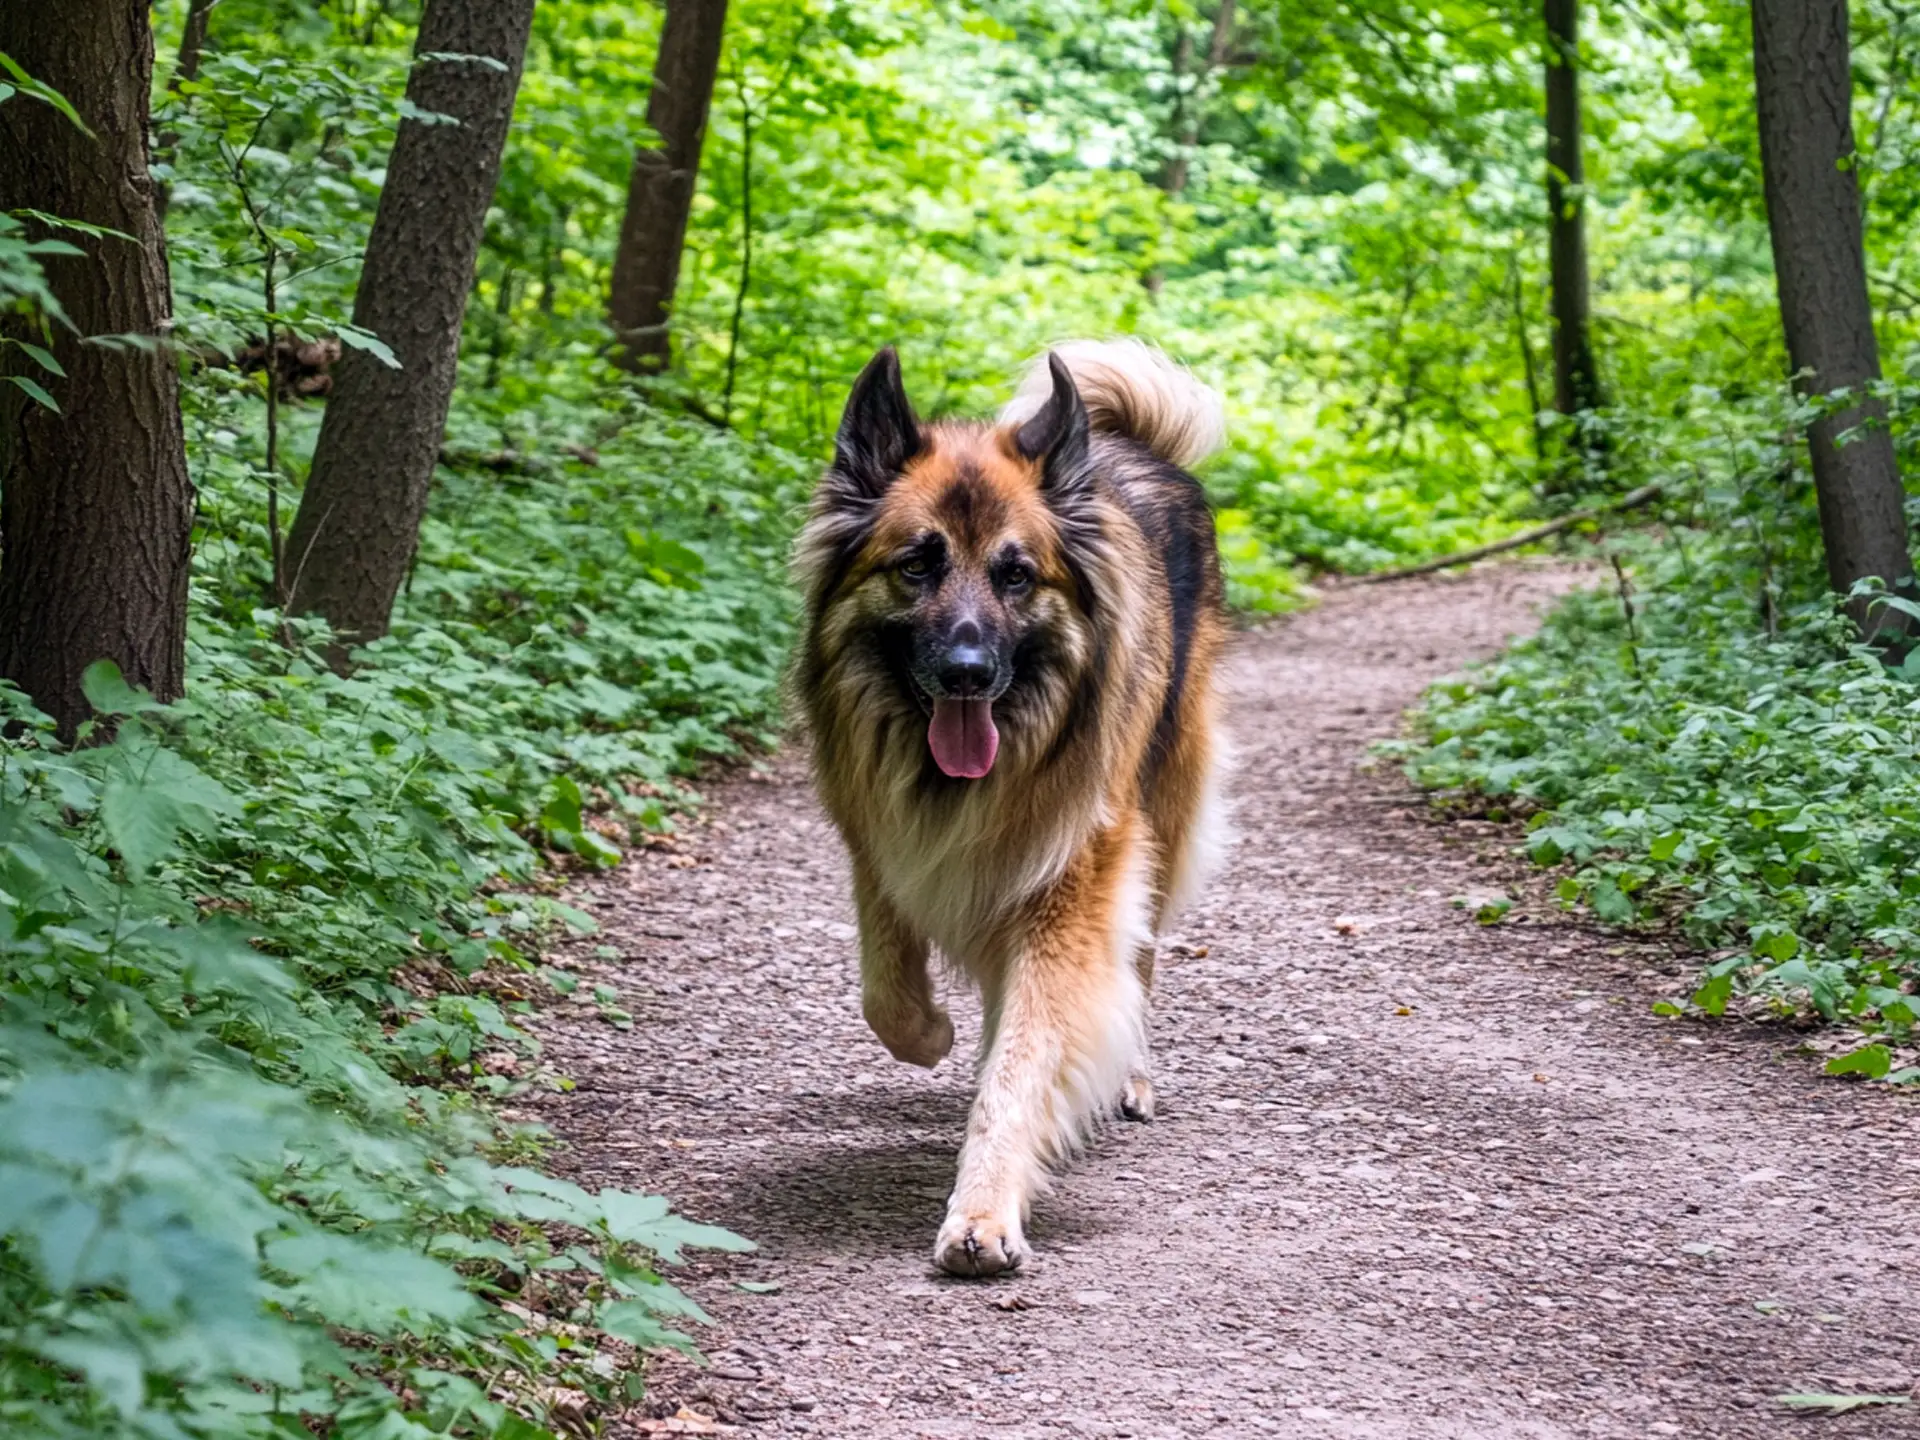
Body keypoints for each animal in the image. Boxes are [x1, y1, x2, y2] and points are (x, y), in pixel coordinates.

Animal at [791, 341, 1228, 1282]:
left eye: (1016, 574)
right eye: (916, 564)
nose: (967, 672)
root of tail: (1127, 439)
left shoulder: (1071, 884)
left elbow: (1025, 1060)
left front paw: (983, 1211)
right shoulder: (878, 840)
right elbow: (887, 992)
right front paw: (932, 1034)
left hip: (1166, 801)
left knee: (1142, 955)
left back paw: (1129, 1070)